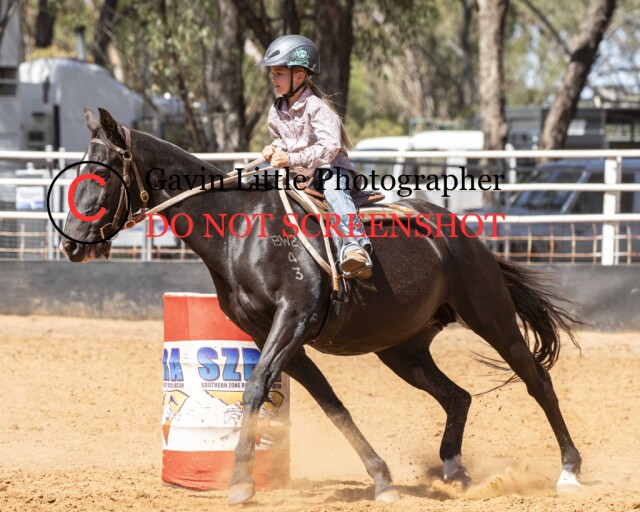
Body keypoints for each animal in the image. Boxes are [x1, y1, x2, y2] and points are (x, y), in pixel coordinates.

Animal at [61, 108, 582, 505]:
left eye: (100, 173)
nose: (70, 245)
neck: (241, 228)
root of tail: (464, 236)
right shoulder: (274, 334)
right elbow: (332, 405)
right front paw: (382, 480)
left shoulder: (294, 321)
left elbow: (255, 390)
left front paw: (240, 484)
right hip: (403, 349)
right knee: (457, 396)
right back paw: (454, 470)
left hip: (489, 315)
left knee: (537, 380)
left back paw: (569, 471)